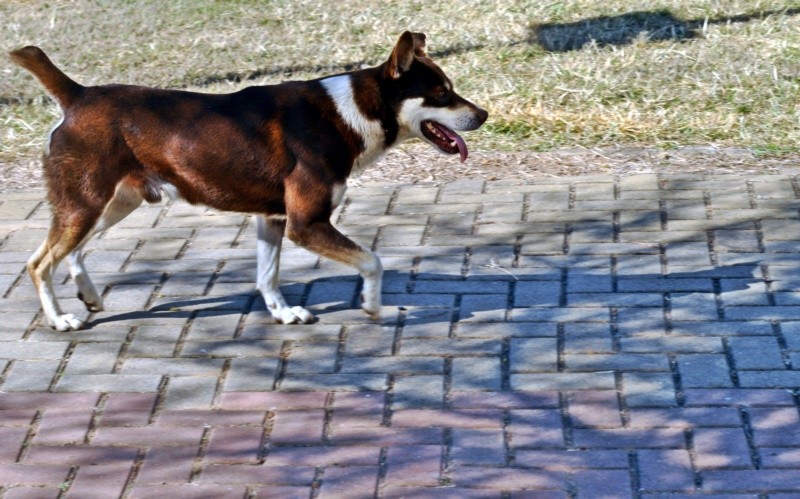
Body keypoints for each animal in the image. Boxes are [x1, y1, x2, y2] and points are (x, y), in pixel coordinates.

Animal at [9, 30, 488, 328]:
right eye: (442, 94)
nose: (484, 114)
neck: (348, 113)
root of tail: (78, 95)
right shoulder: (306, 223)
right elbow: (372, 261)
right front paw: (372, 306)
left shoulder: (273, 220)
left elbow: (267, 276)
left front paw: (284, 313)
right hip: (85, 205)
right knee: (39, 263)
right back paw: (59, 319)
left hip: (112, 204)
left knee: (71, 252)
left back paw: (88, 296)